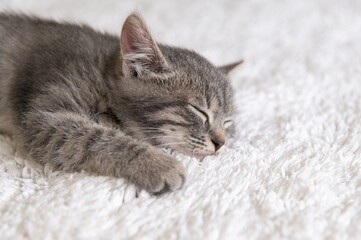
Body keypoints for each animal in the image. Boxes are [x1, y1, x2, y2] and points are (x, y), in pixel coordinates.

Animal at [0, 12, 242, 194]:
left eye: (227, 122)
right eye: (199, 111)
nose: (220, 143)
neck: (102, 72)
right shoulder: (42, 117)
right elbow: (94, 137)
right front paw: (157, 163)